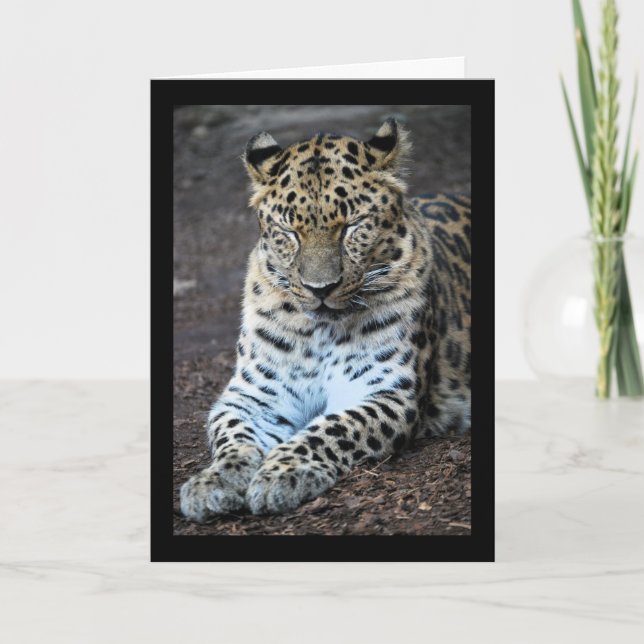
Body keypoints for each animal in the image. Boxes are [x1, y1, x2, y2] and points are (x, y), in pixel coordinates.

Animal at [180, 118, 471, 521]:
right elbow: (232, 434)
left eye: (351, 226)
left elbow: (331, 429)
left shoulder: (386, 391)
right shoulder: (254, 395)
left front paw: (283, 472)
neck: (319, 331)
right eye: (290, 232)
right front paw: (214, 480)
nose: (320, 288)